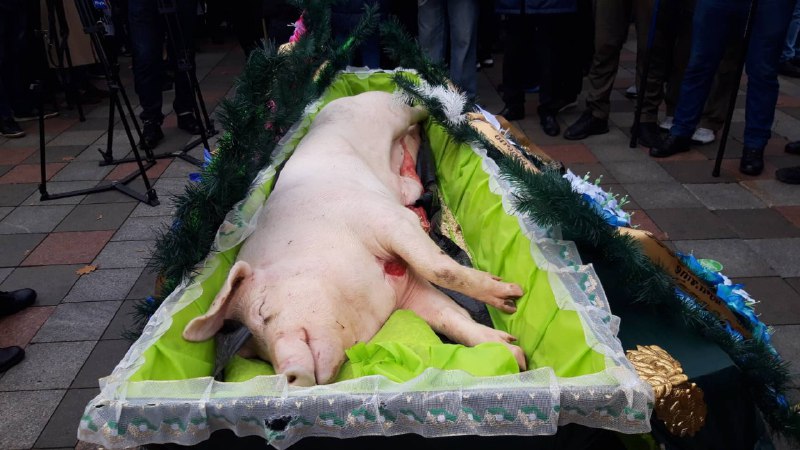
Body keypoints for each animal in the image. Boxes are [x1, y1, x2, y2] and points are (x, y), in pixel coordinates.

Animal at [183, 91, 526, 387]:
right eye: (259, 354)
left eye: (262, 312)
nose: (287, 375)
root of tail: (343, 98)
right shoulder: (407, 292)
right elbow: (449, 315)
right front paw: (515, 354)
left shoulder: (383, 219)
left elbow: (438, 268)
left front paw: (511, 299)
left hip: (390, 111)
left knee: (417, 109)